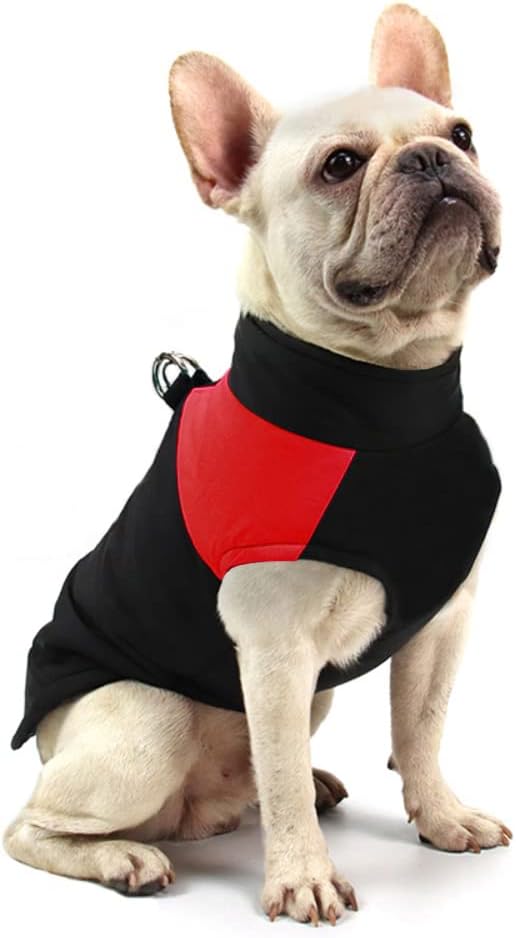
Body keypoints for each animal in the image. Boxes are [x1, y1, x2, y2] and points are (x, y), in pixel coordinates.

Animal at [4, 3, 512, 926]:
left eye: (464, 135)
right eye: (341, 166)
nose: (432, 160)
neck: (386, 395)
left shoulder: (442, 625)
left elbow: (420, 729)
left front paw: (441, 816)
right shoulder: (273, 649)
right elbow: (282, 783)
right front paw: (303, 876)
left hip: (315, 692)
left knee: (255, 779)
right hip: (151, 717)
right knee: (34, 826)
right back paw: (126, 857)